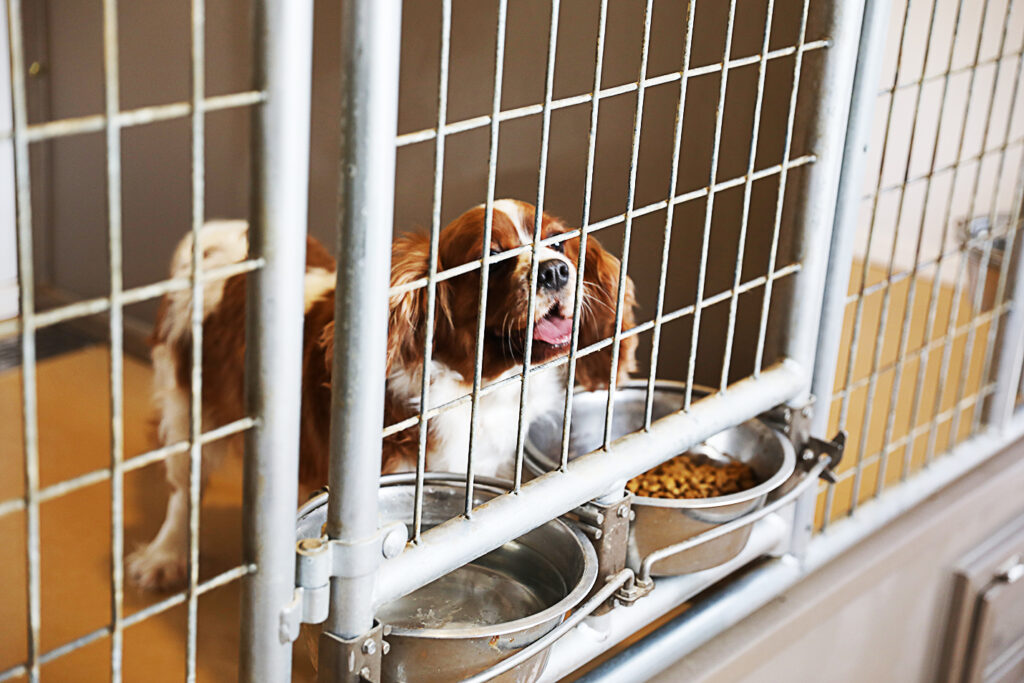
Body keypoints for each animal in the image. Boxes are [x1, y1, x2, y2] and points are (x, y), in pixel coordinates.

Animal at [126, 200, 630, 589]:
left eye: (560, 242)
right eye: (492, 258)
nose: (555, 271)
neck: (475, 390)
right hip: (190, 413)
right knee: (183, 493)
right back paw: (165, 557)